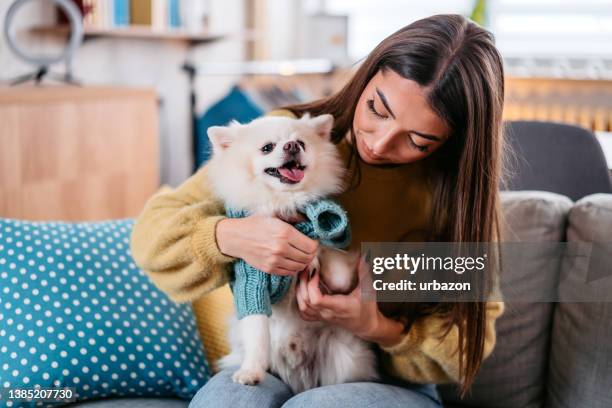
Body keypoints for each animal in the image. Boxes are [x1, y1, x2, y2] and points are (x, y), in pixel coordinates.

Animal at [206, 113, 378, 394]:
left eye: (301, 143)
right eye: (267, 147)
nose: (292, 146)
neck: (285, 203)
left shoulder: (324, 230)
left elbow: (335, 265)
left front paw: (321, 265)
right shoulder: (252, 281)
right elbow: (256, 329)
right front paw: (251, 372)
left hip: (344, 355)